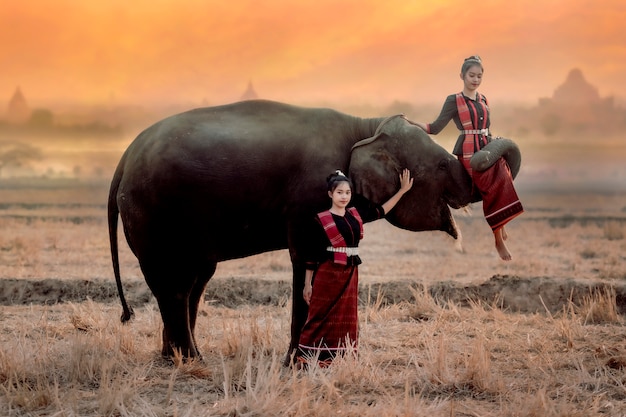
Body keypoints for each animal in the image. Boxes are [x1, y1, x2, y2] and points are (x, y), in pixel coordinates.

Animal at [107, 99, 516, 362]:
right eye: (442, 165)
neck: (365, 126)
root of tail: (123, 159)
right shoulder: (308, 199)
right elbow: (304, 259)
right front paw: (299, 362)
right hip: (154, 216)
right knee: (174, 284)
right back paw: (189, 361)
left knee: (196, 281)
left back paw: (177, 356)